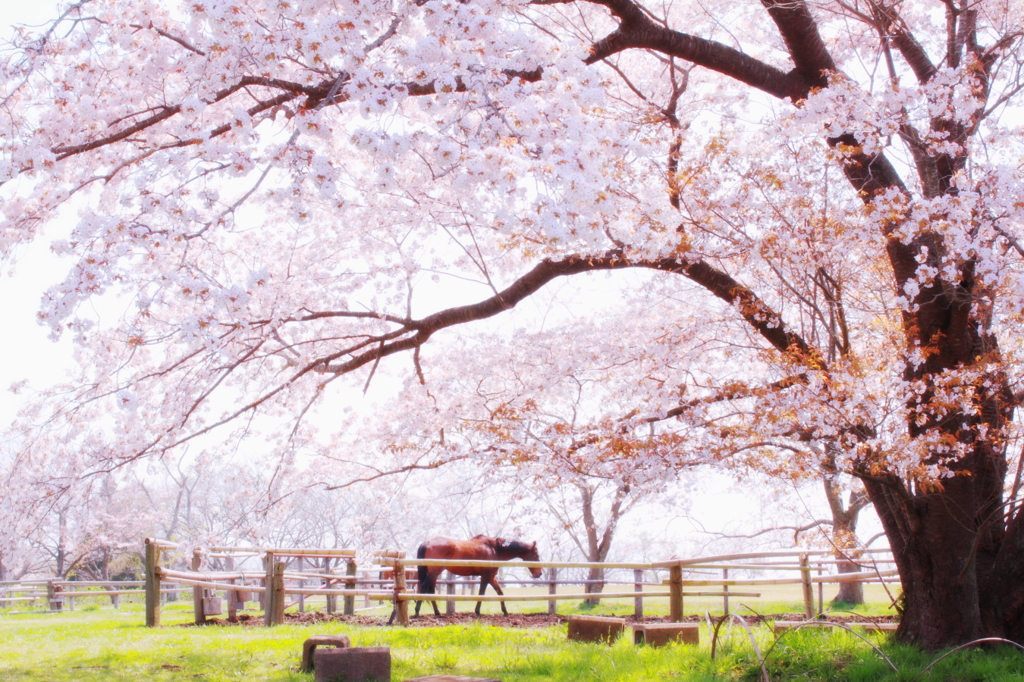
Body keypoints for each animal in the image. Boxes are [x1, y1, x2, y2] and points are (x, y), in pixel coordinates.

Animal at [415, 532, 544, 614]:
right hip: (434, 572)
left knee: (431, 591)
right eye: (536, 555)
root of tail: (427, 542)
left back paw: (437, 613)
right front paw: (477, 612)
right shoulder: (485, 576)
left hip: (434, 574)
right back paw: (417, 612)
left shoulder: (492, 577)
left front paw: (505, 612)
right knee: (424, 587)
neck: (495, 549)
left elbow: (500, 593)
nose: (539, 573)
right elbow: (481, 593)